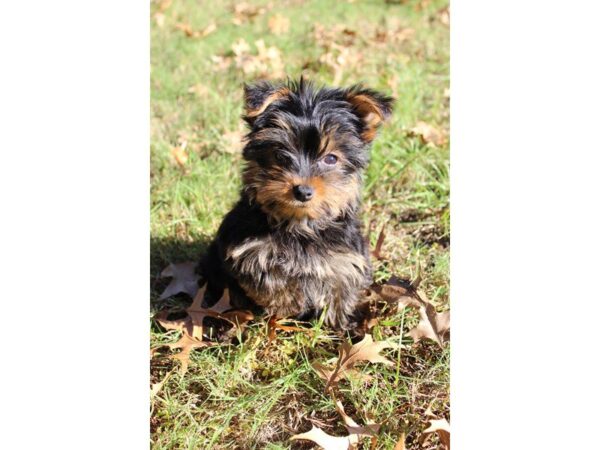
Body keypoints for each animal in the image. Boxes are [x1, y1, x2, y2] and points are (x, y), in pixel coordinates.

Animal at [200, 77, 394, 330]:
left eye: (331, 158)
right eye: (281, 155)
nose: (302, 191)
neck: (300, 223)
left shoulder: (345, 260)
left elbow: (341, 290)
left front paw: (340, 324)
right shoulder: (253, 254)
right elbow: (272, 284)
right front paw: (289, 306)